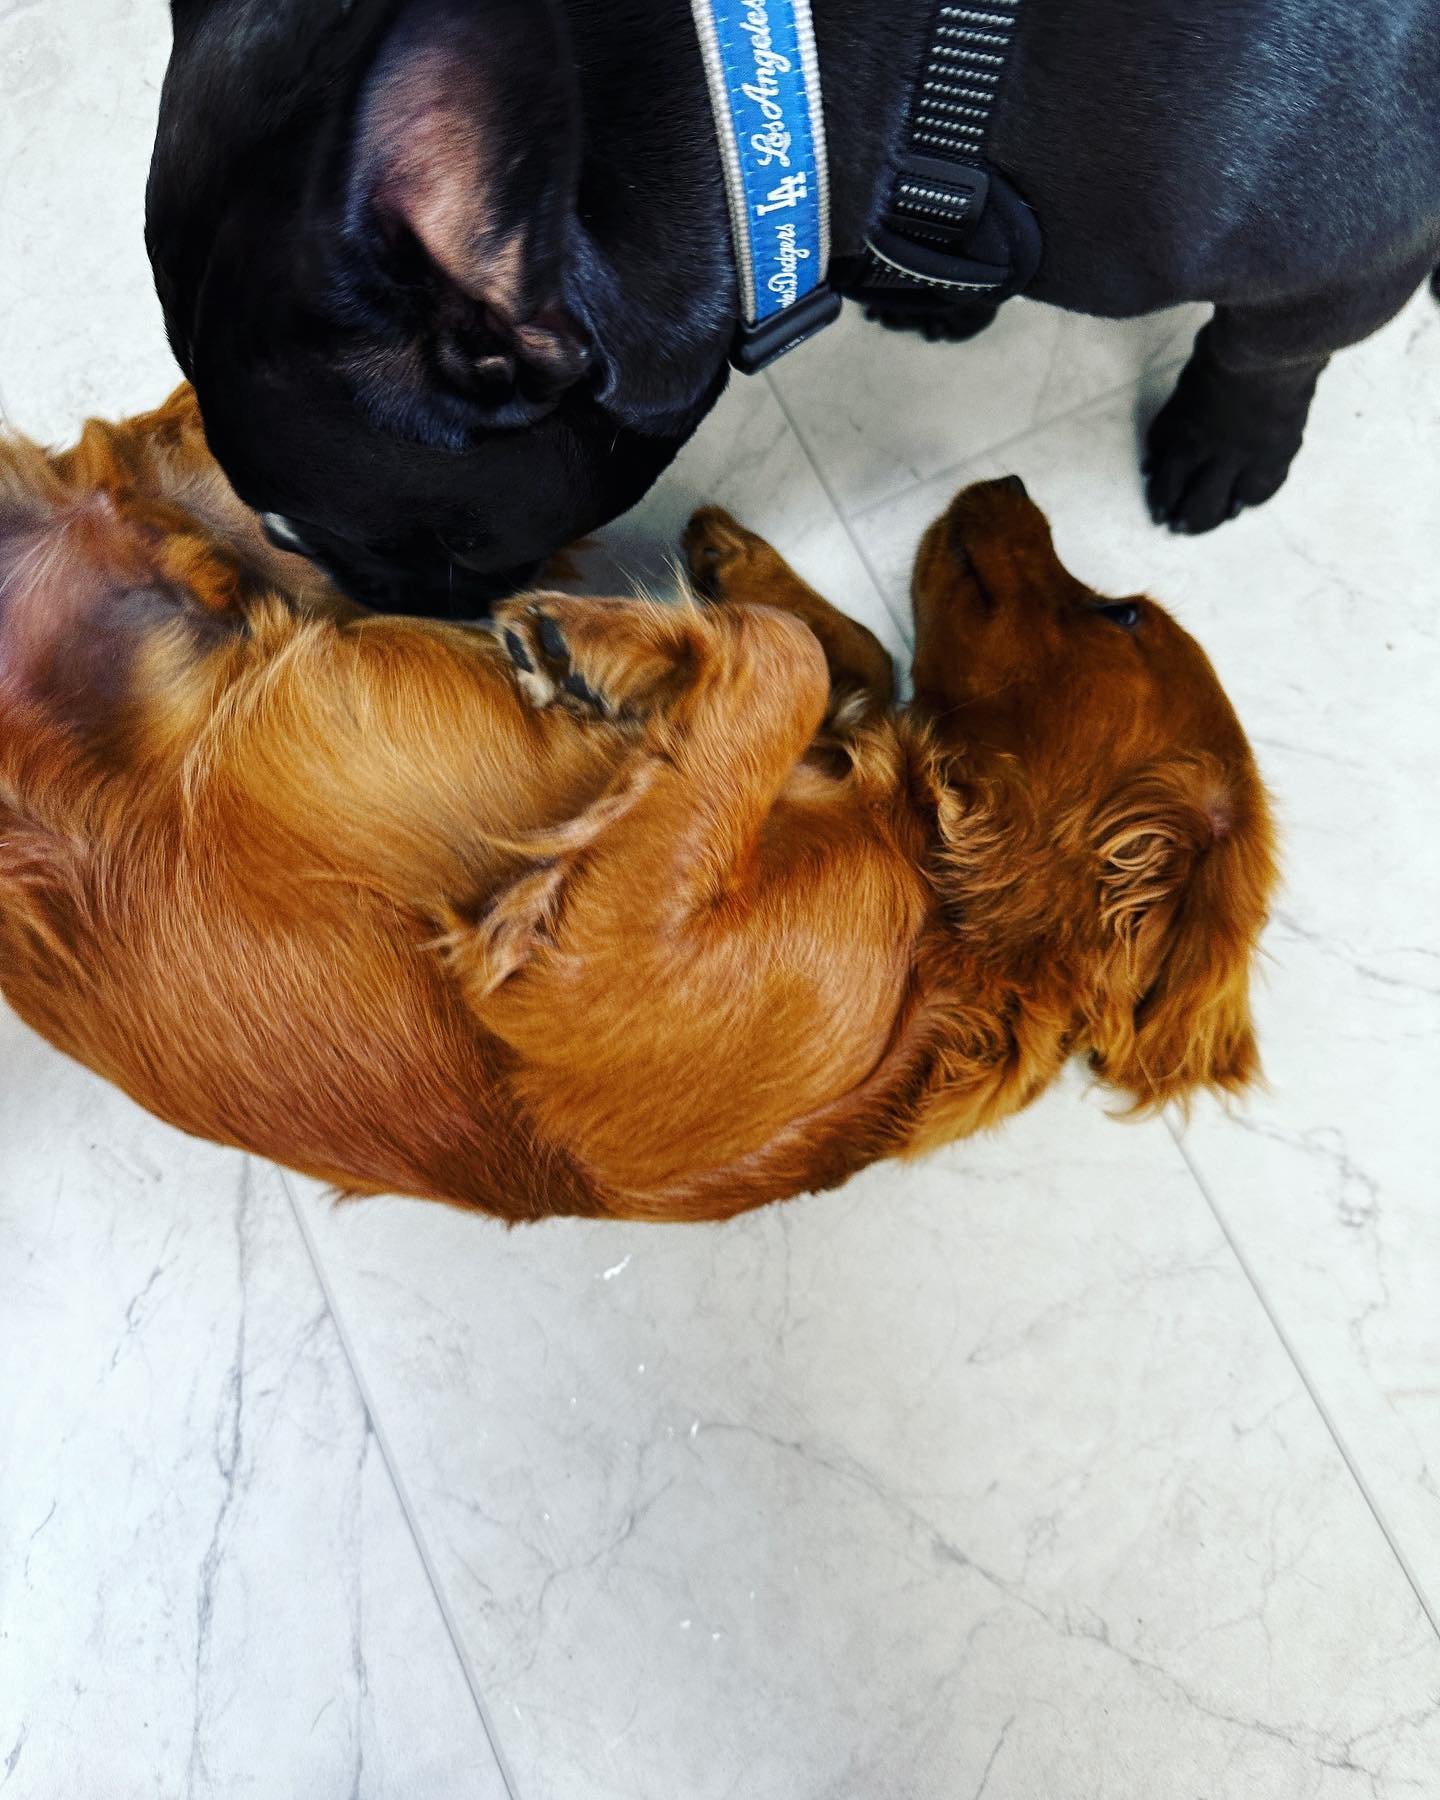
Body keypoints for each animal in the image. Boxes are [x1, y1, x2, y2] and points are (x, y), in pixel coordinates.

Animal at [0, 385, 1281, 1216]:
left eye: (1120, 614)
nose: (1006, 480)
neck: (942, 902)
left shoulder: (592, 973)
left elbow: (791, 660)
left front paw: (609, 645)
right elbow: (846, 654)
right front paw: (670, 622)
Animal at [149, 1, 1440, 612]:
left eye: (294, 528)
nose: (364, 603)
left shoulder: (1351, 257)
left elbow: (1263, 351)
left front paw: (1225, 443)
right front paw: (943, 296)